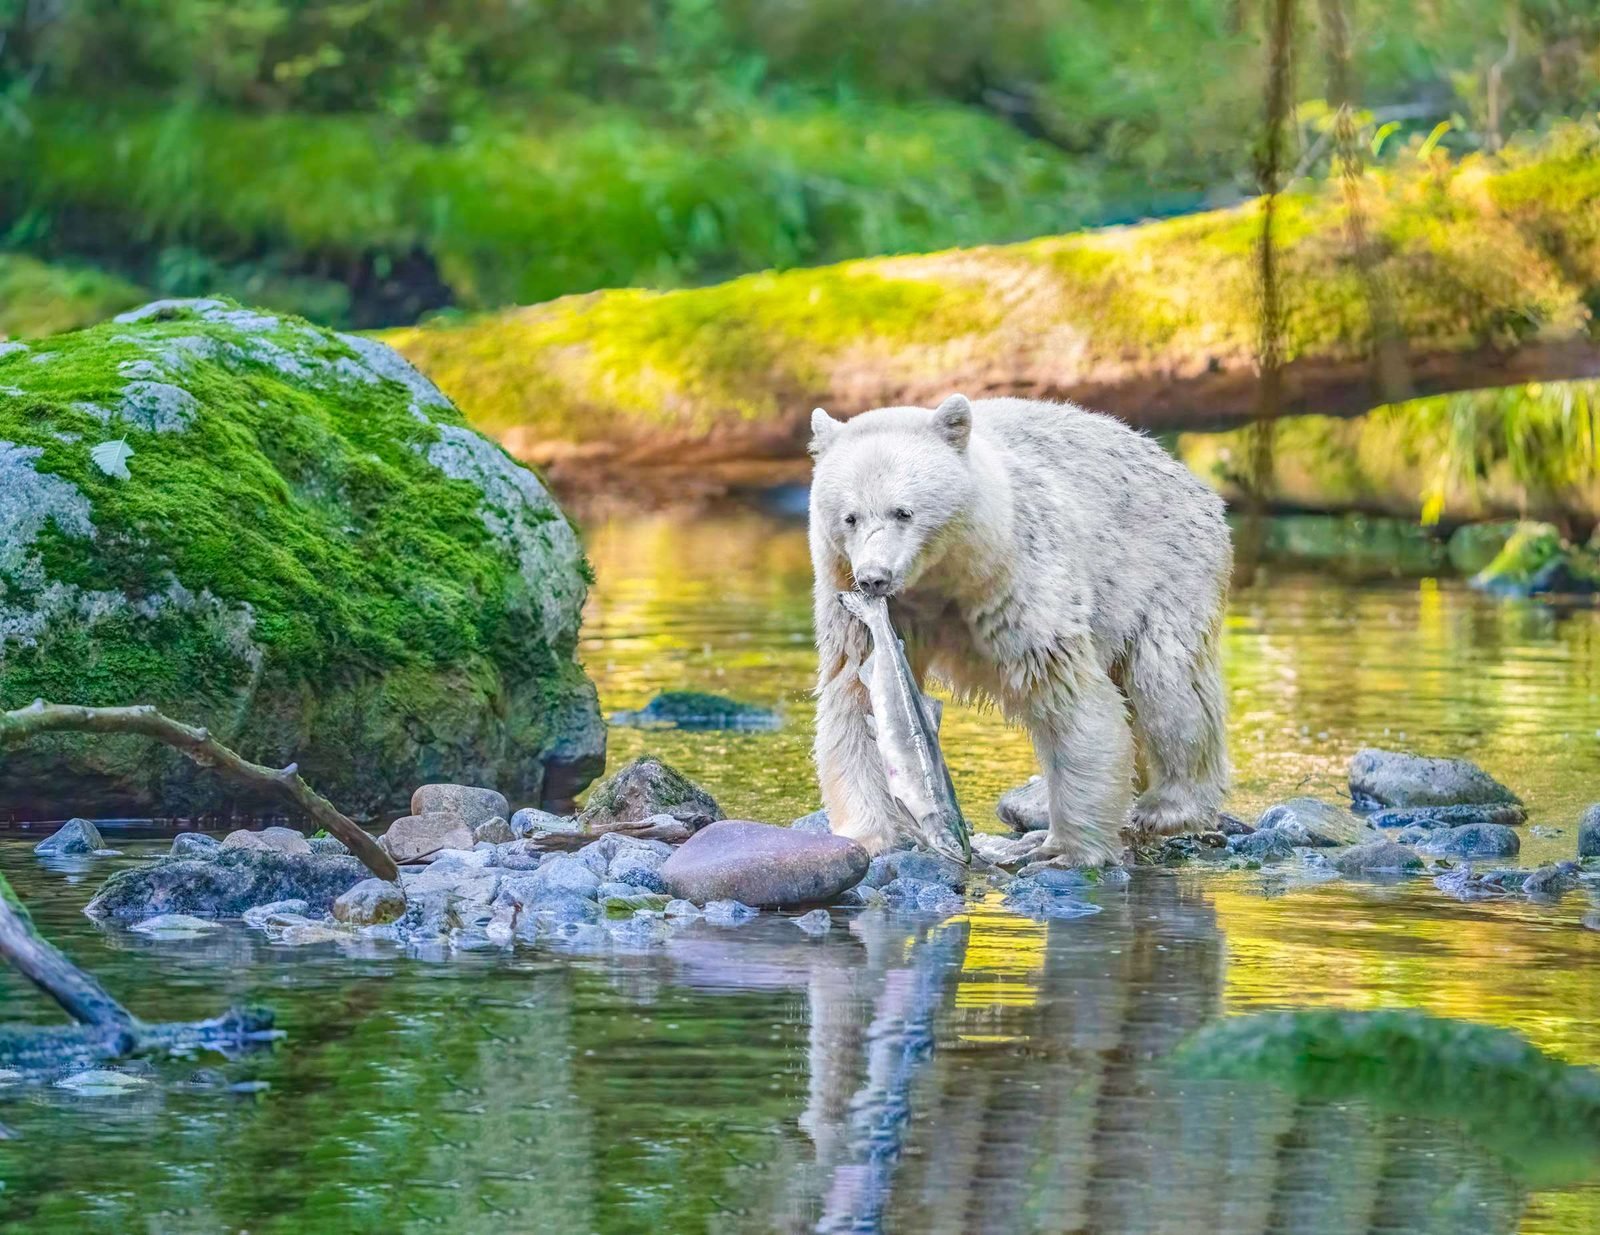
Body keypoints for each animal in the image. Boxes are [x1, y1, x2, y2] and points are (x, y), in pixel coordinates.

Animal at [808, 393, 1231, 864]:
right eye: (849, 517)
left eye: (903, 512)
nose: (873, 578)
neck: (947, 572)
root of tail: (1182, 473)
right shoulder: (854, 598)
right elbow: (854, 695)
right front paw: (872, 836)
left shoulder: (1017, 580)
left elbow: (1065, 692)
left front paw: (1069, 850)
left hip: (1167, 570)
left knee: (1168, 688)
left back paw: (1169, 807)